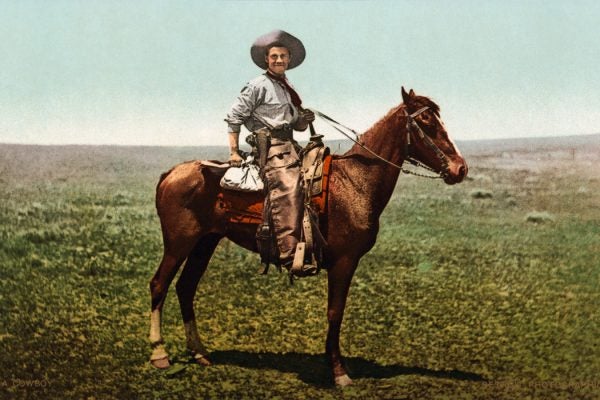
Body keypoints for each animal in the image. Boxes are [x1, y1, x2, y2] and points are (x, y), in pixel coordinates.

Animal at [148, 86, 466, 384]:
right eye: (426, 122)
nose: (460, 169)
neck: (355, 182)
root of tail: (171, 173)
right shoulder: (344, 262)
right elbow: (335, 312)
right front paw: (339, 372)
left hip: (205, 242)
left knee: (186, 287)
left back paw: (199, 353)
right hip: (179, 243)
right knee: (159, 284)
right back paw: (159, 354)